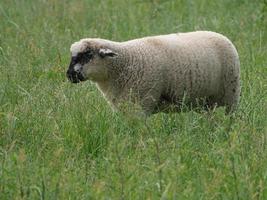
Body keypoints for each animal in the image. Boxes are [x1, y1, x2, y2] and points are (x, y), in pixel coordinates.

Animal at [66, 31, 241, 115]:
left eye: (87, 55)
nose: (69, 75)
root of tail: (222, 36)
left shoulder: (143, 104)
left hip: (231, 95)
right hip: (206, 101)